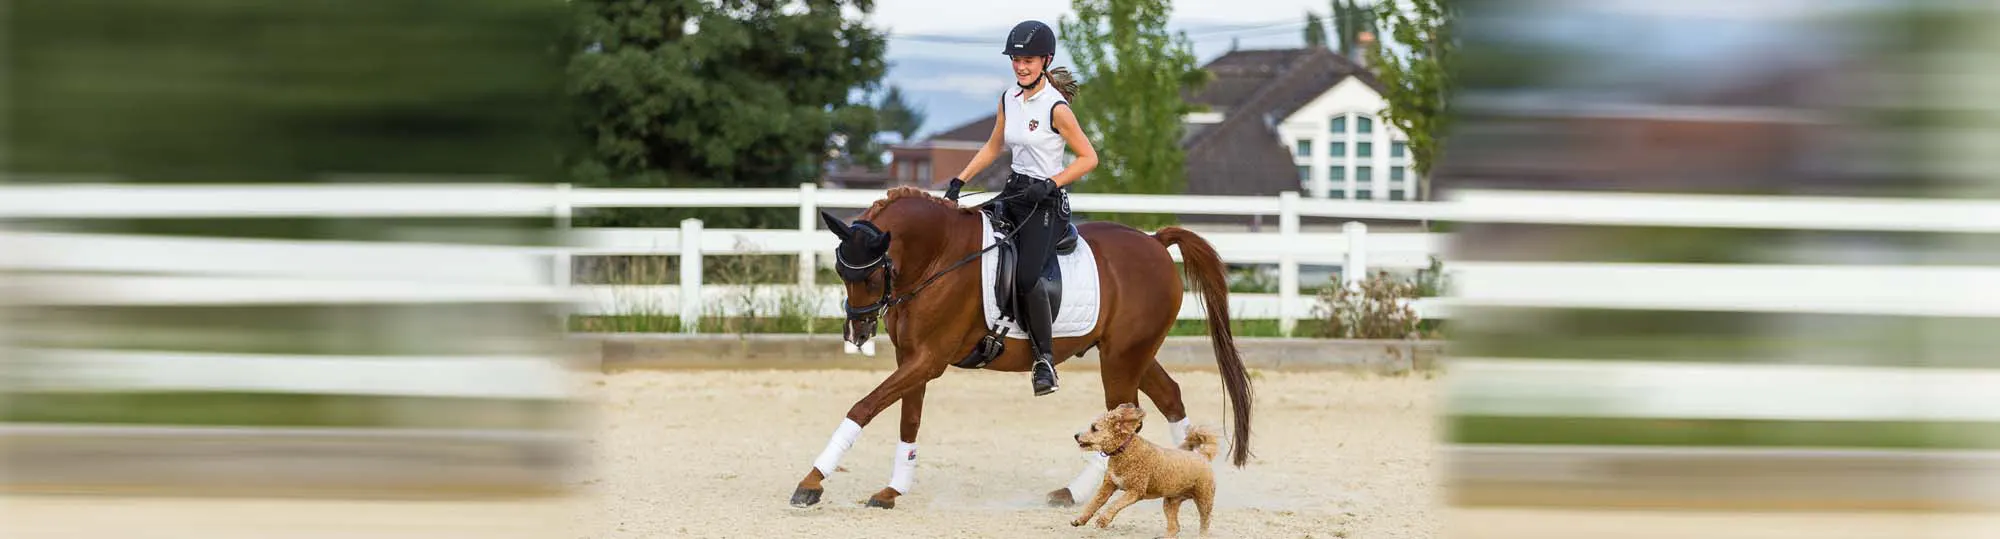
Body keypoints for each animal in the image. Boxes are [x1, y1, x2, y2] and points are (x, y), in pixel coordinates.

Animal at [784, 186, 1240, 509]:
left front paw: (811, 482)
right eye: (841, 271)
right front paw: (893, 490)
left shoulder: (929, 360)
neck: (939, 257)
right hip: (1130, 354)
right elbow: (908, 421)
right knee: (1169, 397)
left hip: (1121, 358)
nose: (856, 333)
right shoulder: (911, 357)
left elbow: (863, 407)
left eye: (875, 276)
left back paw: (1083, 491)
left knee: (1124, 421)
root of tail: (1155, 242)